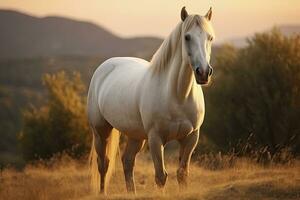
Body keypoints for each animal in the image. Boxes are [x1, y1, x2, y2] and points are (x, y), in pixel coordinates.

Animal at [88, 7, 214, 195]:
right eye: (187, 37)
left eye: (210, 37)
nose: (203, 73)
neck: (177, 96)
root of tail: (105, 66)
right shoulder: (155, 138)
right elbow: (161, 176)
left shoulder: (191, 137)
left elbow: (182, 173)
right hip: (101, 131)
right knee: (104, 163)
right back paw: (103, 193)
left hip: (136, 136)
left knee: (127, 161)